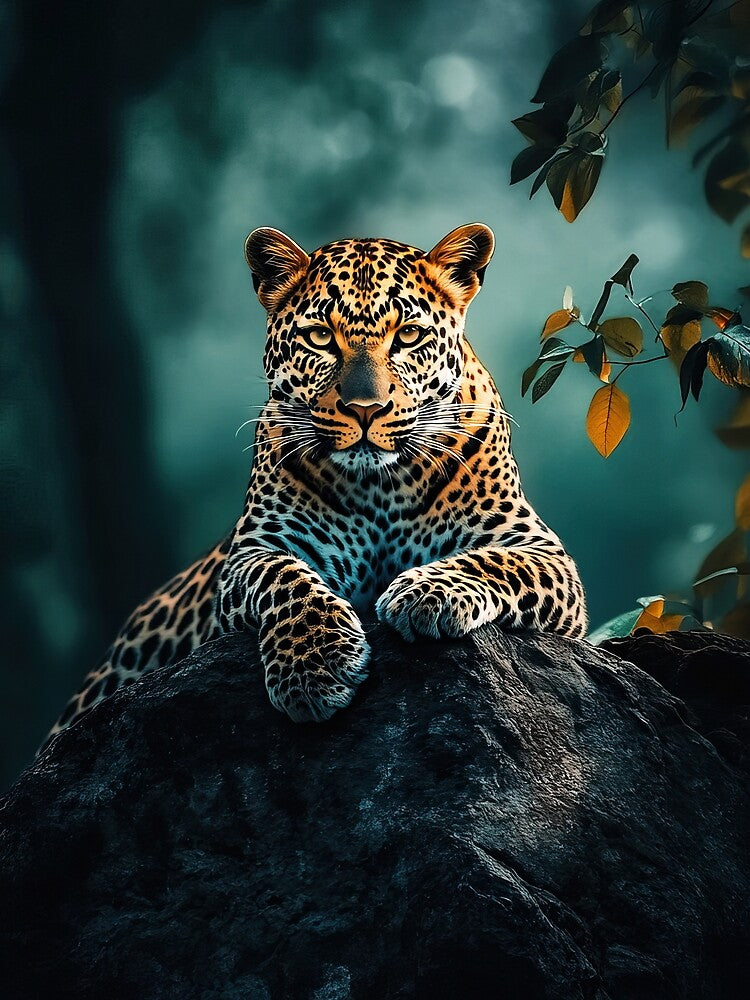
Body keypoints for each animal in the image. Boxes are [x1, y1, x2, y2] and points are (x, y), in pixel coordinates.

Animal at [42, 222, 587, 749]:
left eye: (409, 336)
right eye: (322, 337)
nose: (366, 409)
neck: (380, 486)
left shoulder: (540, 549)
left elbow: (491, 562)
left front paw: (425, 595)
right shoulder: (256, 550)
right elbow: (285, 578)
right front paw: (314, 667)